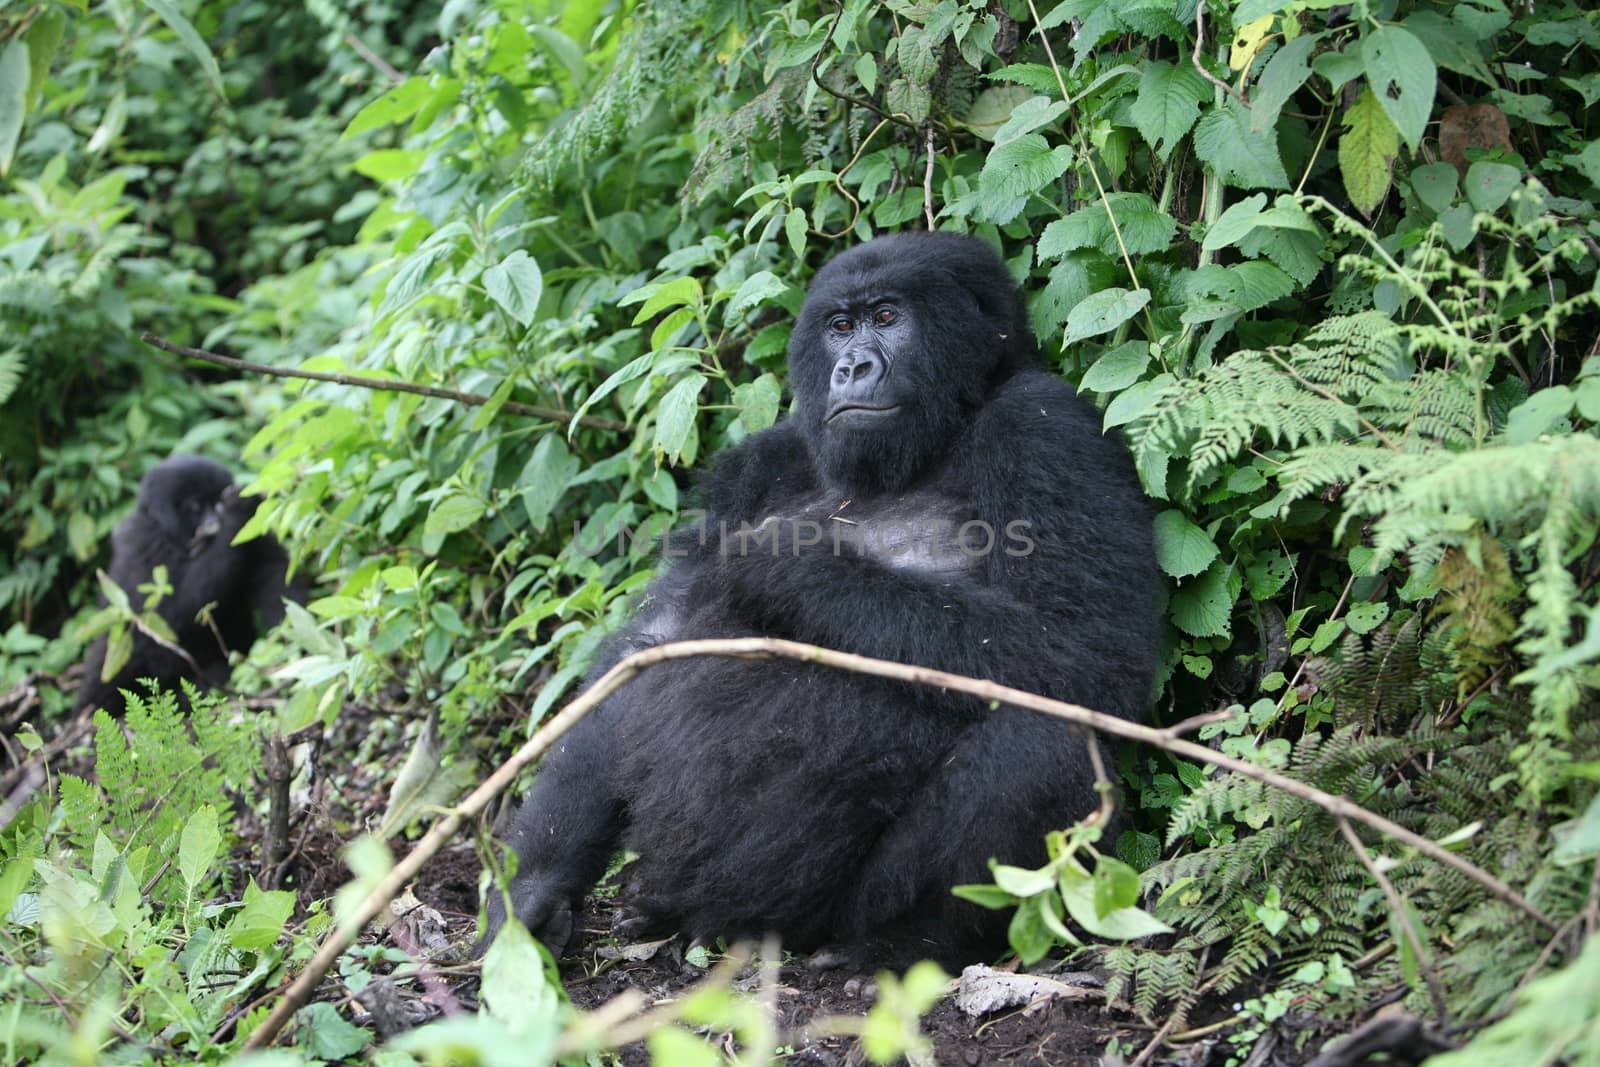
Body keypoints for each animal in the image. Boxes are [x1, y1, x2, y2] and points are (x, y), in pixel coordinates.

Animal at [75, 454, 300, 716]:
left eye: (215, 501)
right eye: (196, 507)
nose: (214, 520)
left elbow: (274, 573)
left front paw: (290, 639)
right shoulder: (139, 541)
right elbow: (166, 613)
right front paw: (235, 512)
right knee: (113, 647)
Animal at [486, 235, 1164, 966]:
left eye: (889, 317)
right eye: (841, 326)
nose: (853, 365)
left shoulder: (1044, 423)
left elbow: (1087, 651)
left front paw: (786, 564)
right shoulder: (758, 460)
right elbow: (651, 646)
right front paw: (534, 886)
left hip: (834, 912)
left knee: (1045, 740)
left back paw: (903, 945)